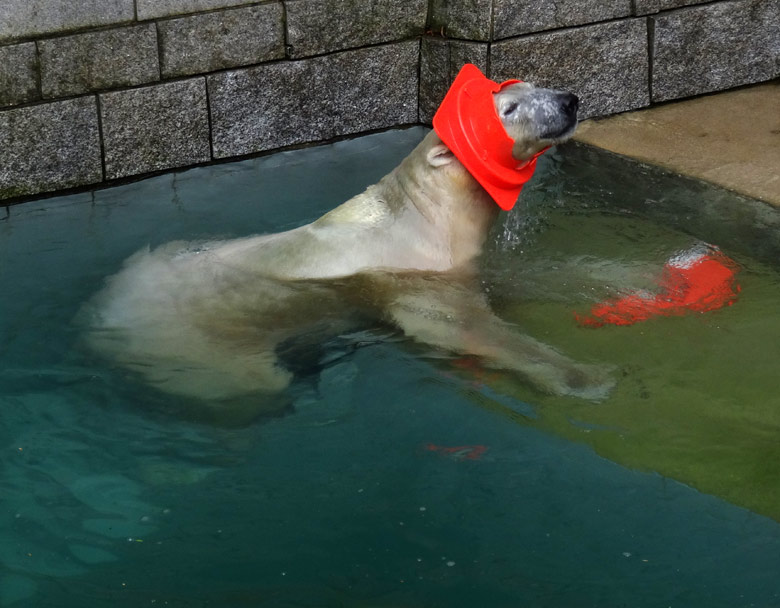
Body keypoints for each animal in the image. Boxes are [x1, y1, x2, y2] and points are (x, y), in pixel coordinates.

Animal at [82, 67, 612, 418]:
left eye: (534, 86)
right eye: (509, 107)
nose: (569, 100)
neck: (422, 213)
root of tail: (96, 319)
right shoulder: (415, 276)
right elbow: (462, 328)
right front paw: (585, 378)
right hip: (190, 348)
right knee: (252, 386)